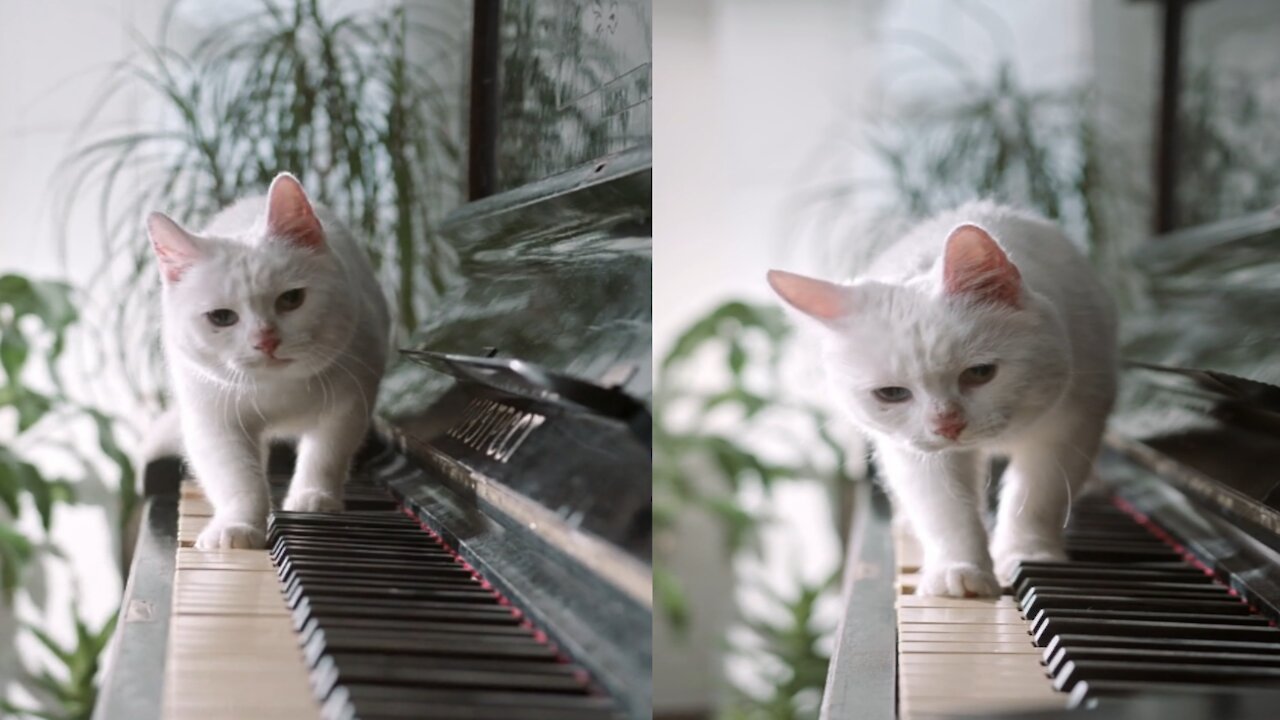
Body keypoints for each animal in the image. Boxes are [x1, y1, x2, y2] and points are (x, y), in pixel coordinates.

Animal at [146, 174, 386, 548]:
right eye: (221, 318)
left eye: (292, 299)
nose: (266, 341)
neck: (279, 390)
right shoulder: (213, 423)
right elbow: (239, 480)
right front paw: (237, 527)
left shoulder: (352, 400)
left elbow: (326, 454)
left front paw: (313, 498)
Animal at [762, 199, 1116, 594]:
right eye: (891, 394)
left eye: (980, 373)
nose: (947, 424)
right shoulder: (916, 453)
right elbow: (945, 510)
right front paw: (959, 572)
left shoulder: (1073, 423)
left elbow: (1038, 496)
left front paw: (1028, 555)